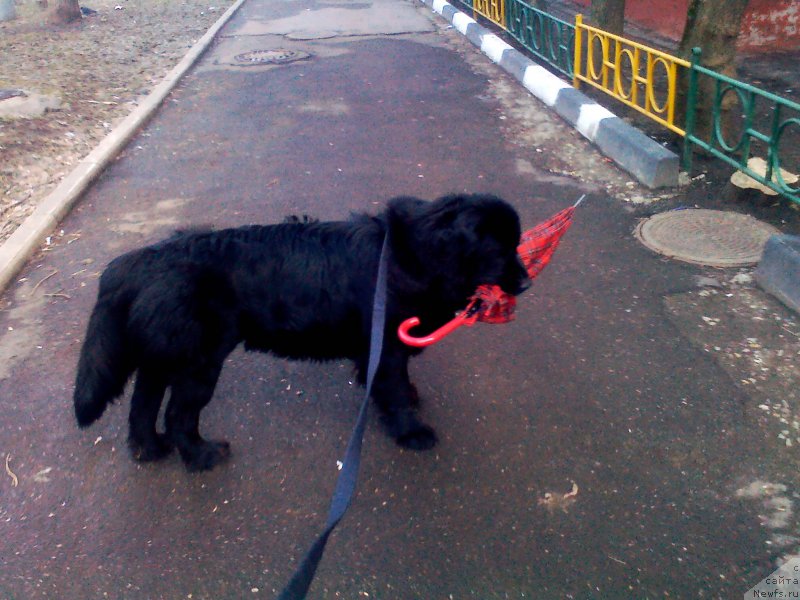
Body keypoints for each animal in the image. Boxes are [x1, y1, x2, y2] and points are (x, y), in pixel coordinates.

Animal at [72, 195, 528, 472]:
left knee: (142, 406)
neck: (414, 256)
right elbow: (395, 390)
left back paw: (149, 450)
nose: (525, 283)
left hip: (165, 356)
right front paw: (410, 431)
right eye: (498, 249)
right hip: (198, 362)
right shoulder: (387, 346)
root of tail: (139, 260)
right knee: (177, 414)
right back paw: (203, 456)